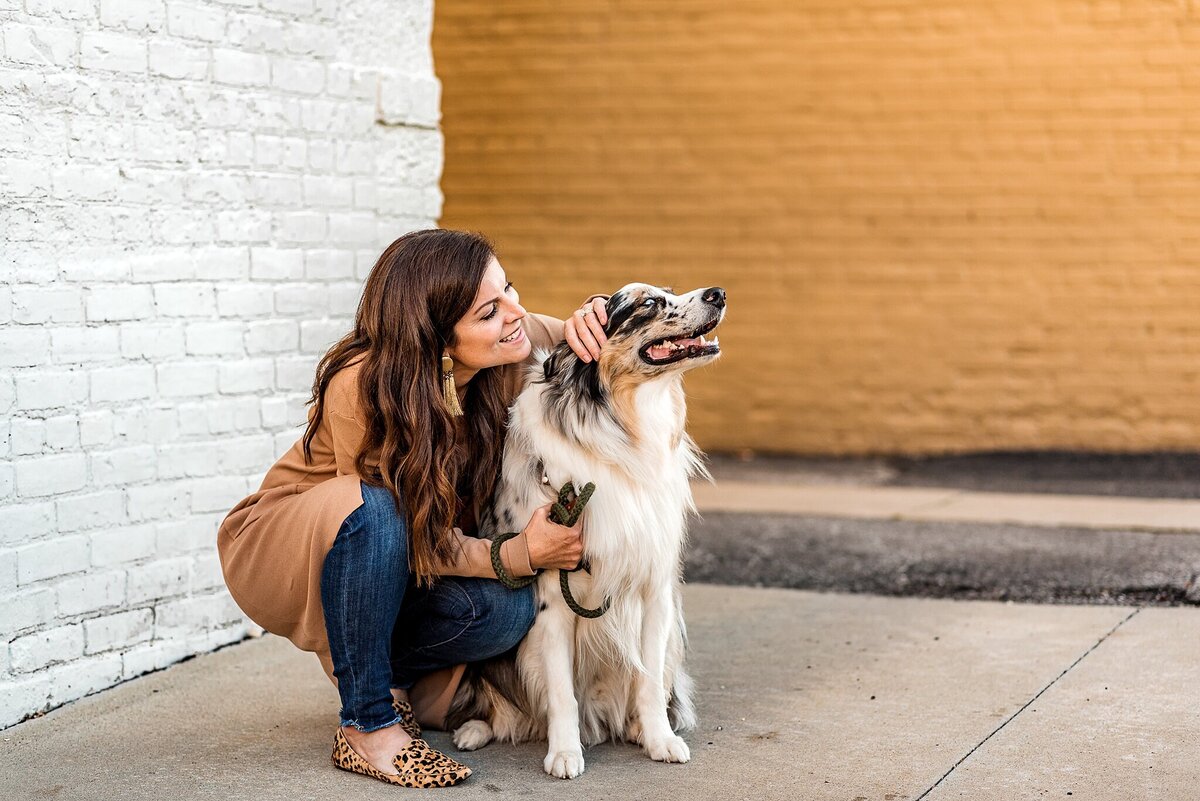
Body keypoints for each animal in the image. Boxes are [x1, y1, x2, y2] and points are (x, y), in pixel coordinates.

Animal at [441, 280, 720, 777]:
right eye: (649, 303)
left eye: (669, 291)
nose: (719, 294)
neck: (624, 426)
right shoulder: (553, 595)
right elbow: (561, 692)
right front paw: (565, 752)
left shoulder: (655, 589)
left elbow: (650, 681)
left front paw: (659, 738)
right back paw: (476, 729)